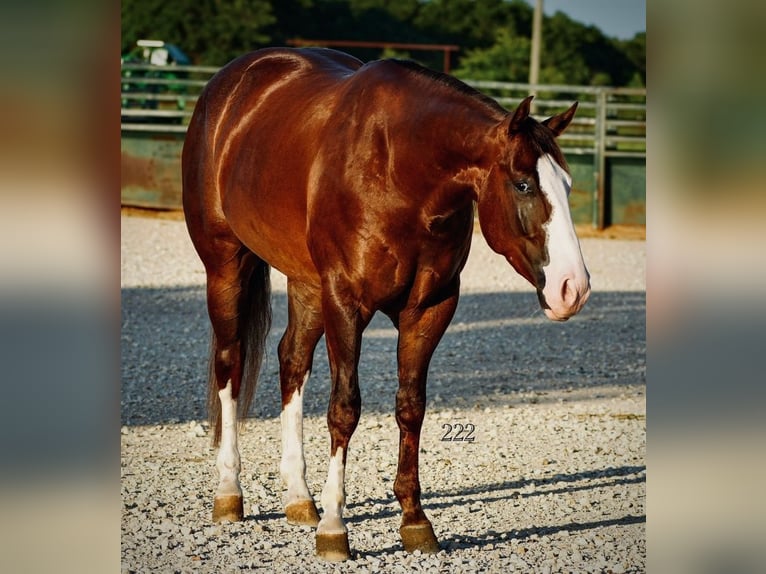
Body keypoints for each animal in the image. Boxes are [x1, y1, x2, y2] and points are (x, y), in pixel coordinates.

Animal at [182, 47, 590, 561]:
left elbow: (410, 406)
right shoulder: (345, 301)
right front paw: (335, 529)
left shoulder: (430, 307)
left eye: (569, 185)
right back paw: (229, 492)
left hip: (305, 282)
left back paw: (299, 497)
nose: (572, 287)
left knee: (291, 361)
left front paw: (415, 522)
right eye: (523, 184)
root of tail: (230, 84)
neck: (400, 170)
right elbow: (344, 408)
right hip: (226, 264)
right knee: (230, 363)